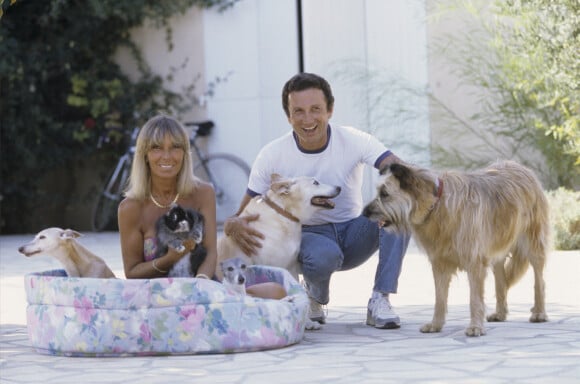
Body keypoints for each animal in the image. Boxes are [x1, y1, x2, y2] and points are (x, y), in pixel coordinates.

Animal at [362, 159, 548, 336]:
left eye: (385, 194)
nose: (364, 213)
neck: (436, 204)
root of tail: (521, 167)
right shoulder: (439, 263)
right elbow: (439, 298)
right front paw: (436, 324)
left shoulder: (474, 261)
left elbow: (474, 299)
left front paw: (475, 327)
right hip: (498, 248)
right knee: (500, 281)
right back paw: (500, 313)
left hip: (533, 243)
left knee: (539, 280)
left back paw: (539, 313)